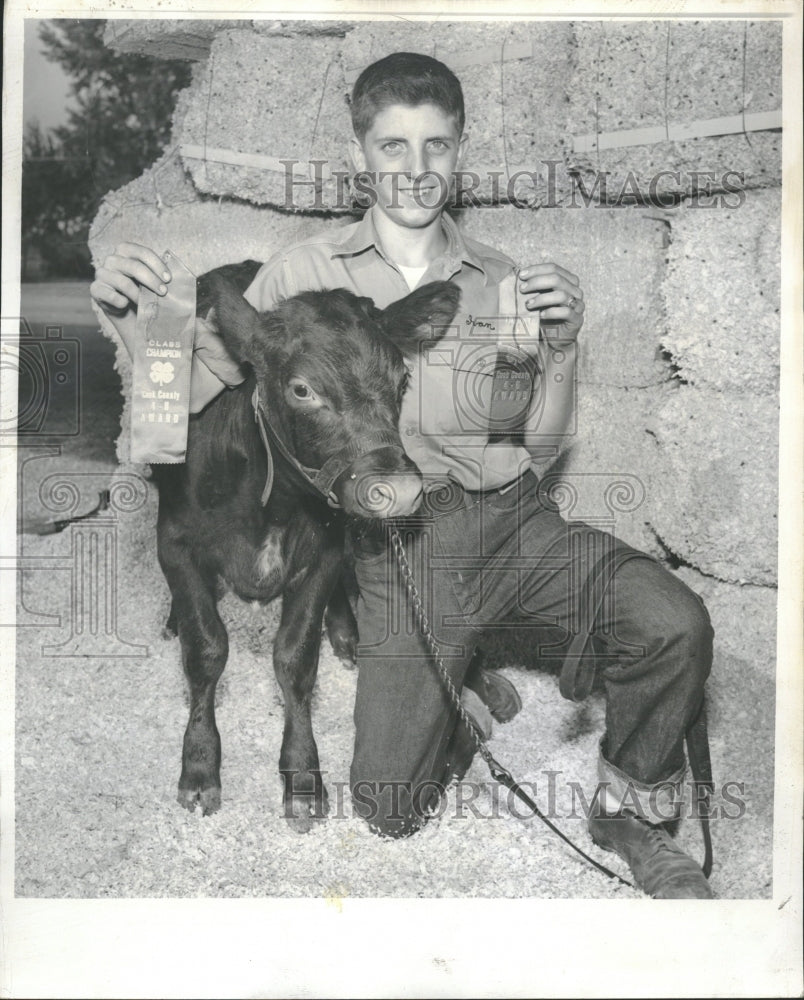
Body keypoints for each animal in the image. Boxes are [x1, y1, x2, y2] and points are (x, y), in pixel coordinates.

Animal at [152, 264, 458, 828]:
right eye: (301, 389)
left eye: (402, 380)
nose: (400, 488)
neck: (270, 506)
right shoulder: (176, 542)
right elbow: (206, 650)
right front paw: (200, 766)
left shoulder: (324, 551)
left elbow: (295, 658)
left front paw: (301, 776)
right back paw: (172, 618)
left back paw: (345, 631)